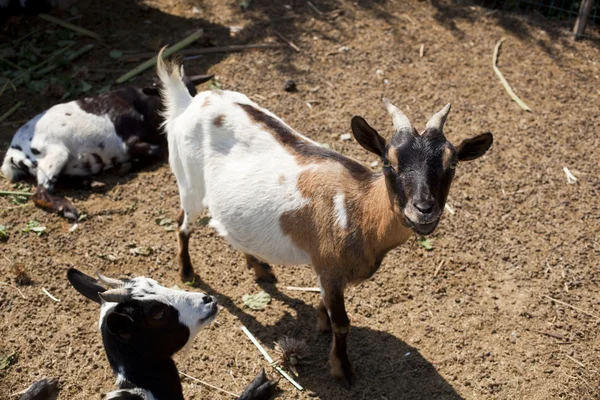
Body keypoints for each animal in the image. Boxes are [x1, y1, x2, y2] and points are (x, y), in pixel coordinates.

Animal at [0, 74, 211, 220]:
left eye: (193, 93)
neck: (139, 104)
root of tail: (12, 153)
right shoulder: (127, 143)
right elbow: (156, 150)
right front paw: (125, 166)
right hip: (55, 155)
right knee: (40, 193)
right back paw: (67, 208)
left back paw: (91, 183)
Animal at [157, 48, 494, 386]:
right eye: (388, 163)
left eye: (452, 164)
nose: (424, 209)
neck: (360, 209)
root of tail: (188, 101)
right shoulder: (330, 267)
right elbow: (342, 323)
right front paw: (342, 369)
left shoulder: (328, 272)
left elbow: (328, 311)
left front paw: (320, 321)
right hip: (189, 184)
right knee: (182, 223)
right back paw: (187, 272)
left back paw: (260, 268)